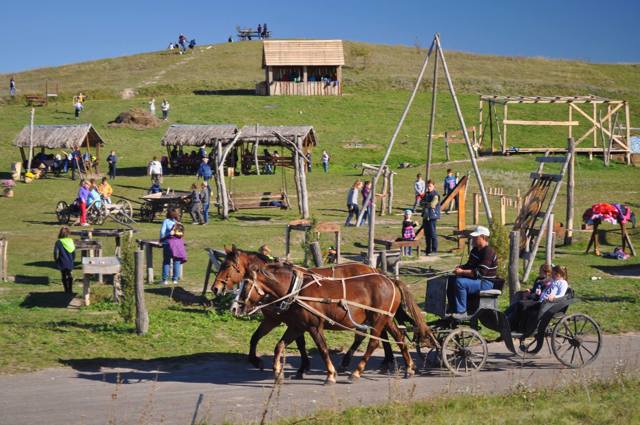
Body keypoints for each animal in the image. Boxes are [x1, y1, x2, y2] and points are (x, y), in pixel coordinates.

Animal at [212, 245, 396, 374]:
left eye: (227, 266)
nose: (215, 288)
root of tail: (375, 270)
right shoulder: (278, 320)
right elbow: (256, 337)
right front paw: (257, 361)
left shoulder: (284, 320)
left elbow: (299, 343)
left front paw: (302, 366)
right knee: (382, 332)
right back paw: (385, 361)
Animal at [232, 260, 438, 382]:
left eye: (246, 283)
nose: (234, 308)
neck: (297, 290)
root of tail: (390, 280)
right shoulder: (297, 326)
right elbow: (280, 345)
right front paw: (277, 371)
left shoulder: (314, 326)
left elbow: (322, 349)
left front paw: (330, 374)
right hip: (385, 318)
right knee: (399, 338)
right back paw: (409, 368)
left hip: (378, 319)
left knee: (373, 342)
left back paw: (357, 371)